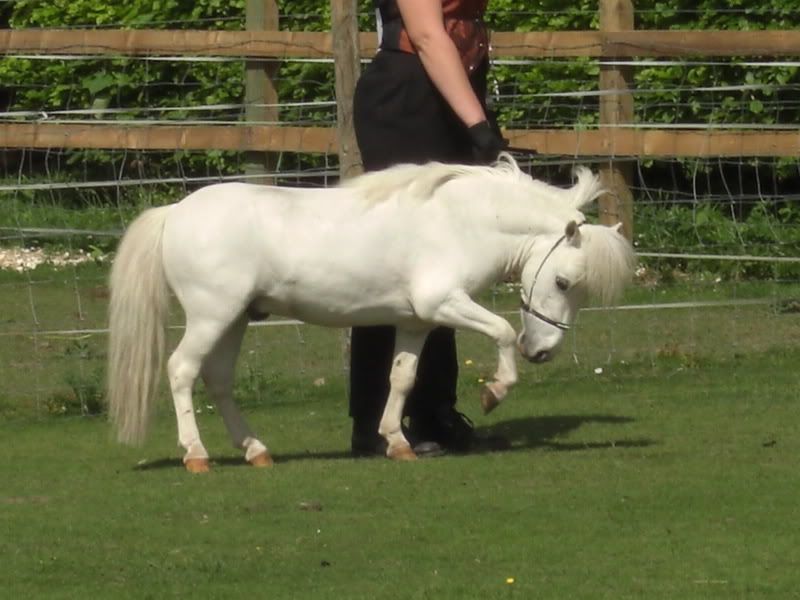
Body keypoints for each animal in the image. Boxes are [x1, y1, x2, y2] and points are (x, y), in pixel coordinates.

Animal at [106, 152, 636, 472]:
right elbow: (503, 331)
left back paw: (256, 451)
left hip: (235, 319)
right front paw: (494, 392)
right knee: (182, 370)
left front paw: (398, 443)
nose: (542, 351)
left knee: (217, 379)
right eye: (563, 282)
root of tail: (175, 212)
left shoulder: (416, 321)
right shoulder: (444, 302)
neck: (461, 221)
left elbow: (401, 378)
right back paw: (196, 455)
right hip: (211, 316)